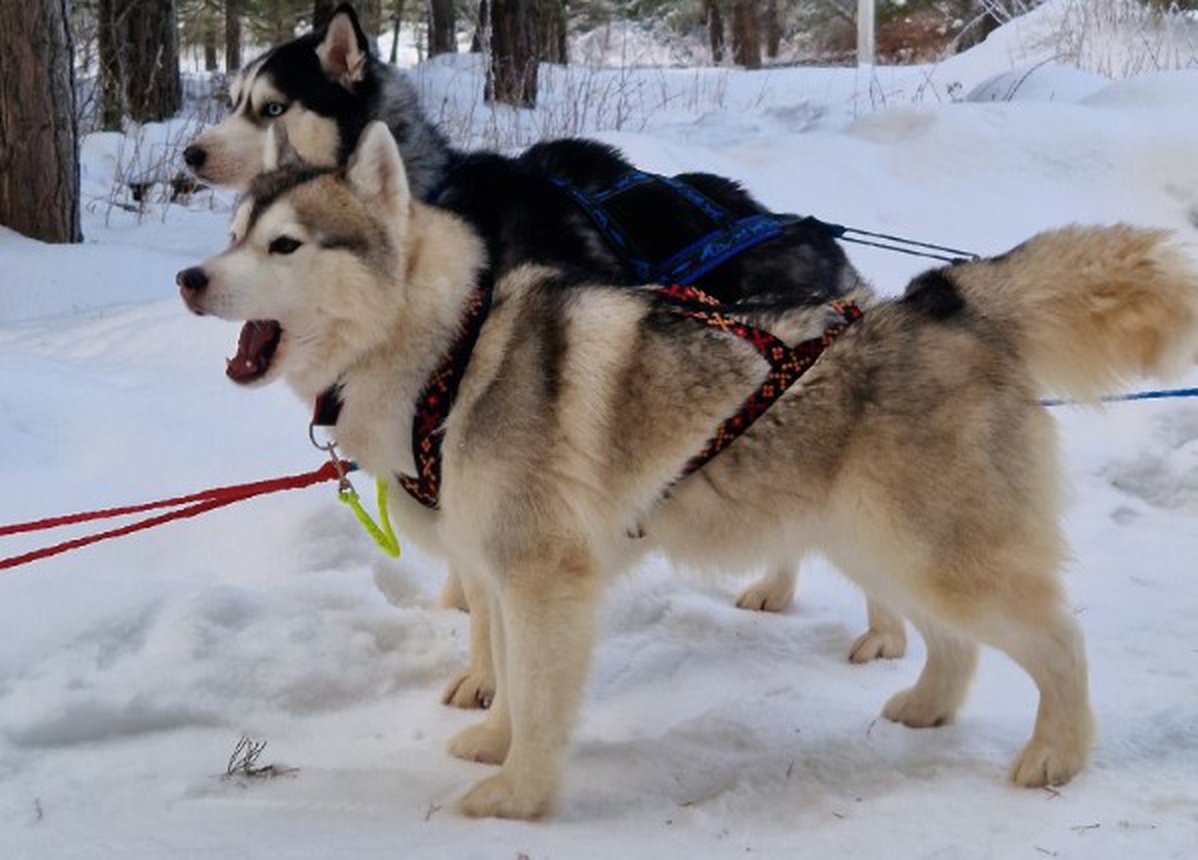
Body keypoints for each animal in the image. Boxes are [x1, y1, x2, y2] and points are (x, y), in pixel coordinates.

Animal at [177, 122, 1198, 824]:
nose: (189, 277)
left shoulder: (545, 579)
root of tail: (945, 298)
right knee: (954, 642)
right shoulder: (499, 573)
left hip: (937, 550)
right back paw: (926, 707)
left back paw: (1058, 754)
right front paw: (495, 742)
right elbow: (504, 671)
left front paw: (520, 796)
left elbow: (540, 699)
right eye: (232, 234)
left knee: (1060, 641)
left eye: (285, 245)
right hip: (883, 544)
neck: (450, 354)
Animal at [179, 5, 905, 675]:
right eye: (233, 101)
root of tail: (810, 233)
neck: (434, 196)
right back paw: (778, 589)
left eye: (272, 108)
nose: (191, 153)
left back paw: (877, 631)